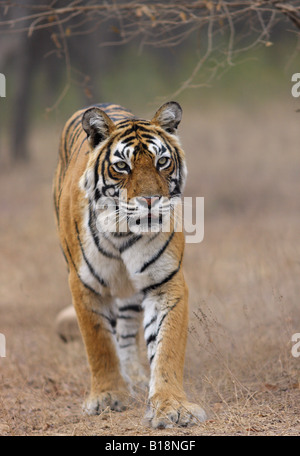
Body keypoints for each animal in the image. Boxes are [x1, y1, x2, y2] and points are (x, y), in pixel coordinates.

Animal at [53, 100, 206, 428]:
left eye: (162, 162)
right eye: (122, 166)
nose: (150, 200)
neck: (122, 231)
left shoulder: (165, 282)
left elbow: (166, 348)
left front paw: (172, 406)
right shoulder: (84, 284)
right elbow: (99, 344)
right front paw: (107, 396)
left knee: (125, 333)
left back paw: (135, 378)